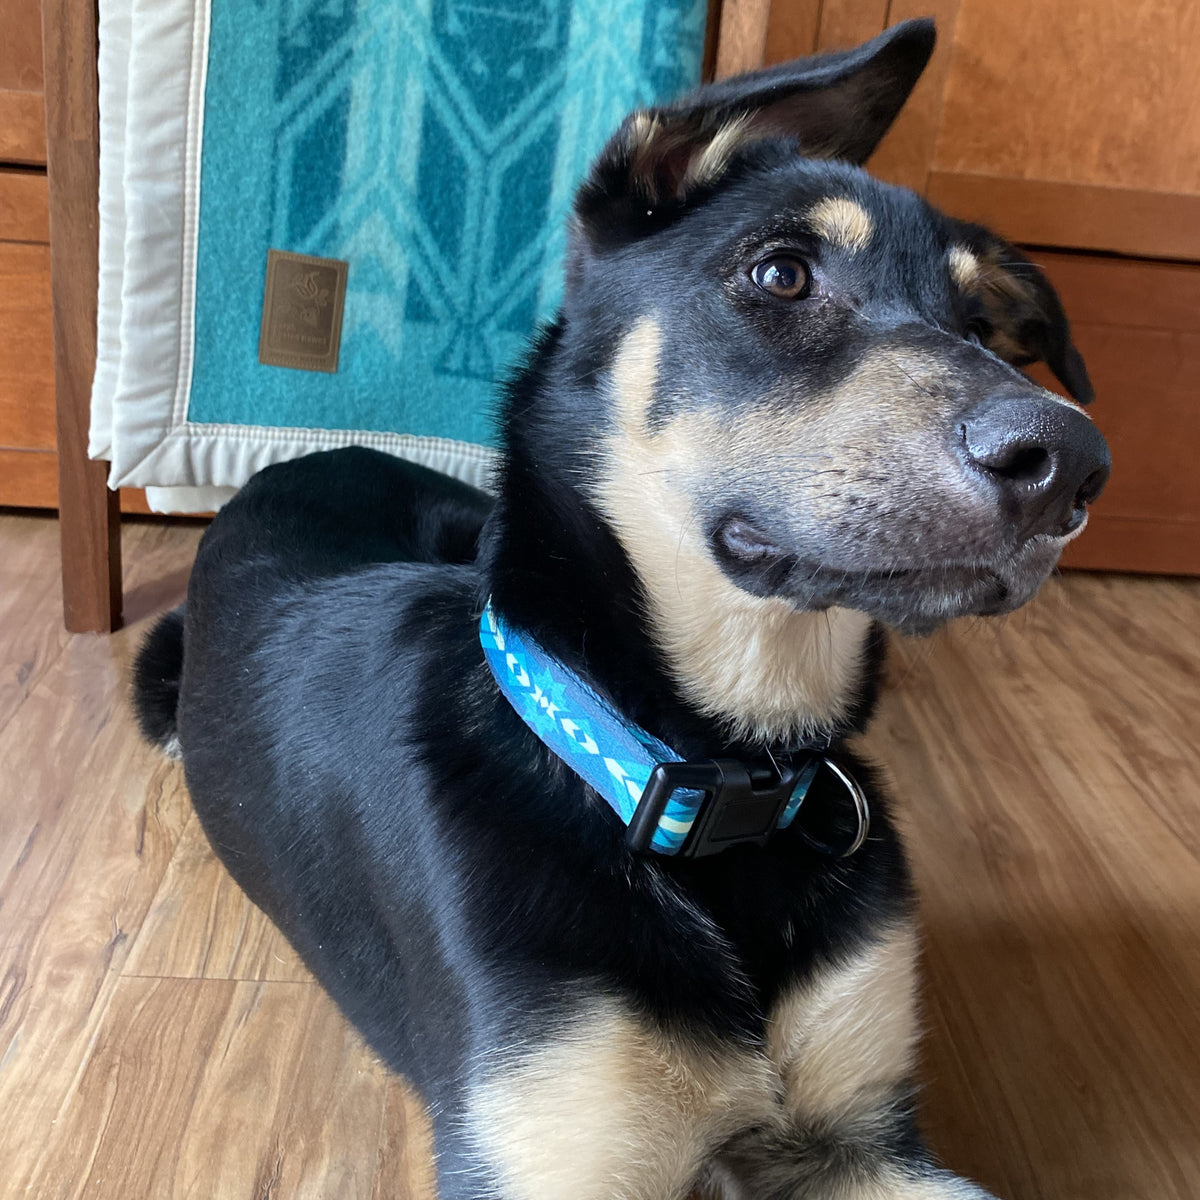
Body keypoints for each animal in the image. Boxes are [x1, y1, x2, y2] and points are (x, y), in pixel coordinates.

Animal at [131, 21, 1104, 1200]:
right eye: (781, 273)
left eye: (985, 330)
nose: (1071, 467)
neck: (701, 779)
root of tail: (319, 453)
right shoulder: (552, 1148)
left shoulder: (868, 1140)